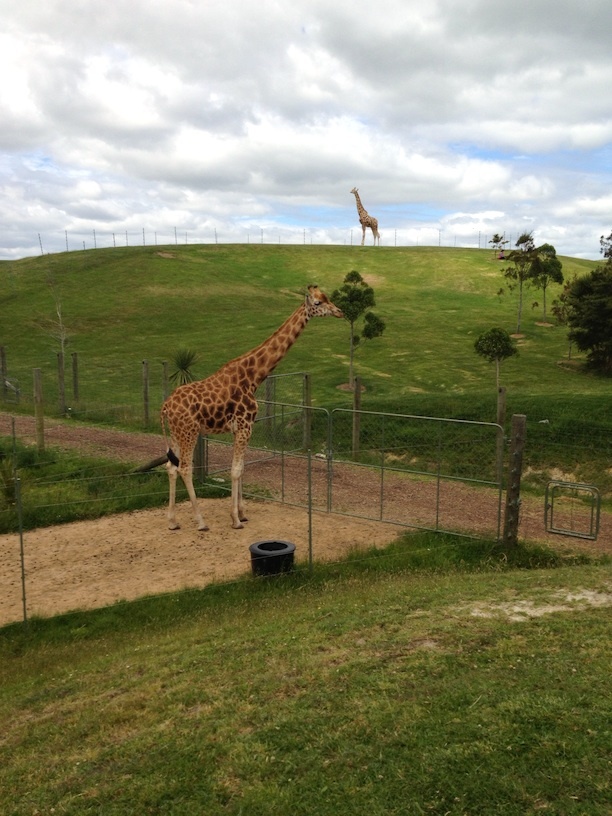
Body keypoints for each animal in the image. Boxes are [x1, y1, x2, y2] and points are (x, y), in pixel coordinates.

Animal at [160, 284, 342, 532]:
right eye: (317, 303)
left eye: (327, 297)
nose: (339, 311)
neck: (254, 377)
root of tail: (165, 406)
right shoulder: (245, 426)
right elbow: (235, 470)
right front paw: (235, 519)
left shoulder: (239, 429)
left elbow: (242, 468)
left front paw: (242, 513)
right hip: (190, 432)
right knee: (185, 468)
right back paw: (201, 521)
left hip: (177, 434)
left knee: (171, 466)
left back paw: (172, 521)